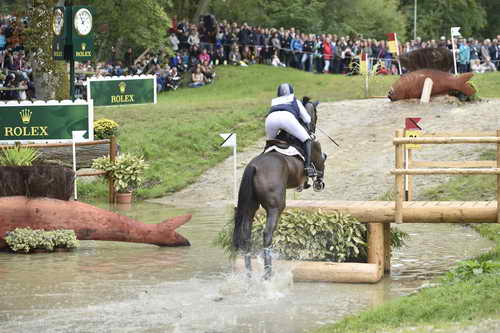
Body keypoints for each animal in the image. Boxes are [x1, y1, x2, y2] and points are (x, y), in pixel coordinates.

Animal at [231, 100, 326, 278]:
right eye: (315, 113)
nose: (313, 128)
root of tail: (254, 167)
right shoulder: (316, 151)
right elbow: (322, 163)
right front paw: (318, 183)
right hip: (276, 207)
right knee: (267, 234)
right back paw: (268, 274)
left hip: (250, 206)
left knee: (246, 235)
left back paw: (249, 275)